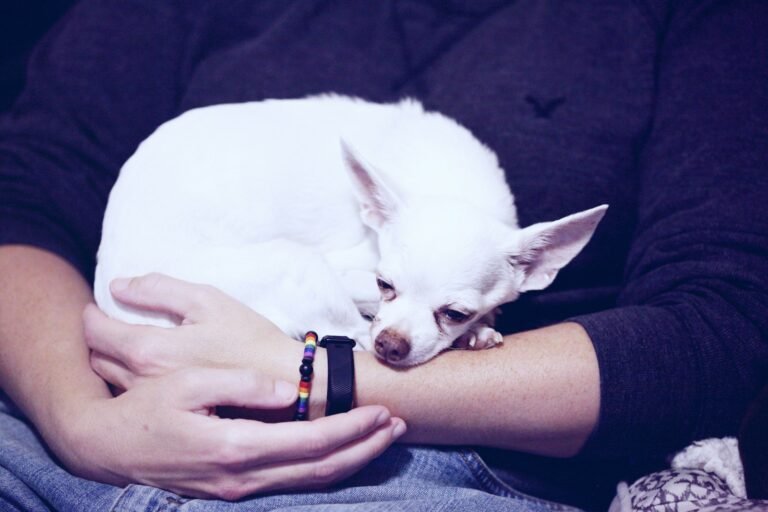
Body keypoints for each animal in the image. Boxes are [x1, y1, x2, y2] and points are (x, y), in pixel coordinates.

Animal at [94, 96, 608, 366]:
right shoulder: (348, 271)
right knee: (346, 332)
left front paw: (476, 328)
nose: (391, 345)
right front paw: (479, 330)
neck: (450, 186)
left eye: (455, 311)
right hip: (297, 266)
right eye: (384, 284)